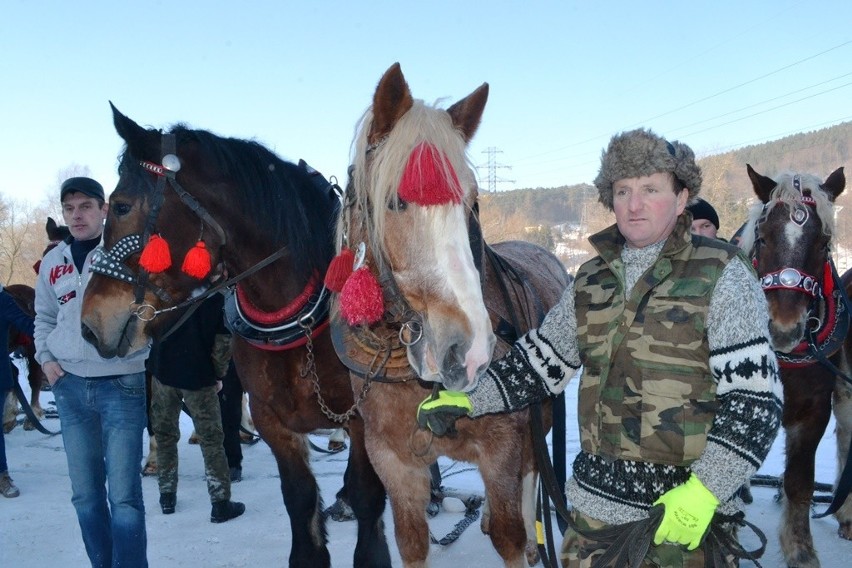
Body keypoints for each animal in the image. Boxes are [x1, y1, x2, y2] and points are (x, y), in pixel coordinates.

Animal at [78, 104, 392, 564]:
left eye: (119, 207)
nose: (88, 324)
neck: (296, 316)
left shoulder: (361, 419)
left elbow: (370, 501)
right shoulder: (274, 422)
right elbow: (300, 502)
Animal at [332, 64, 572, 564]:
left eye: (471, 204)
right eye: (395, 201)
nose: (470, 351)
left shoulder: (501, 449)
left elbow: (508, 534)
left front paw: (519, 536)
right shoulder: (393, 460)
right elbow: (411, 540)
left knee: (530, 472)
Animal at [740, 163, 852, 564]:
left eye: (823, 243)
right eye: (762, 238)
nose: (783, 328)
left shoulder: (813, 410)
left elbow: (800, 484)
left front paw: (800, 549)